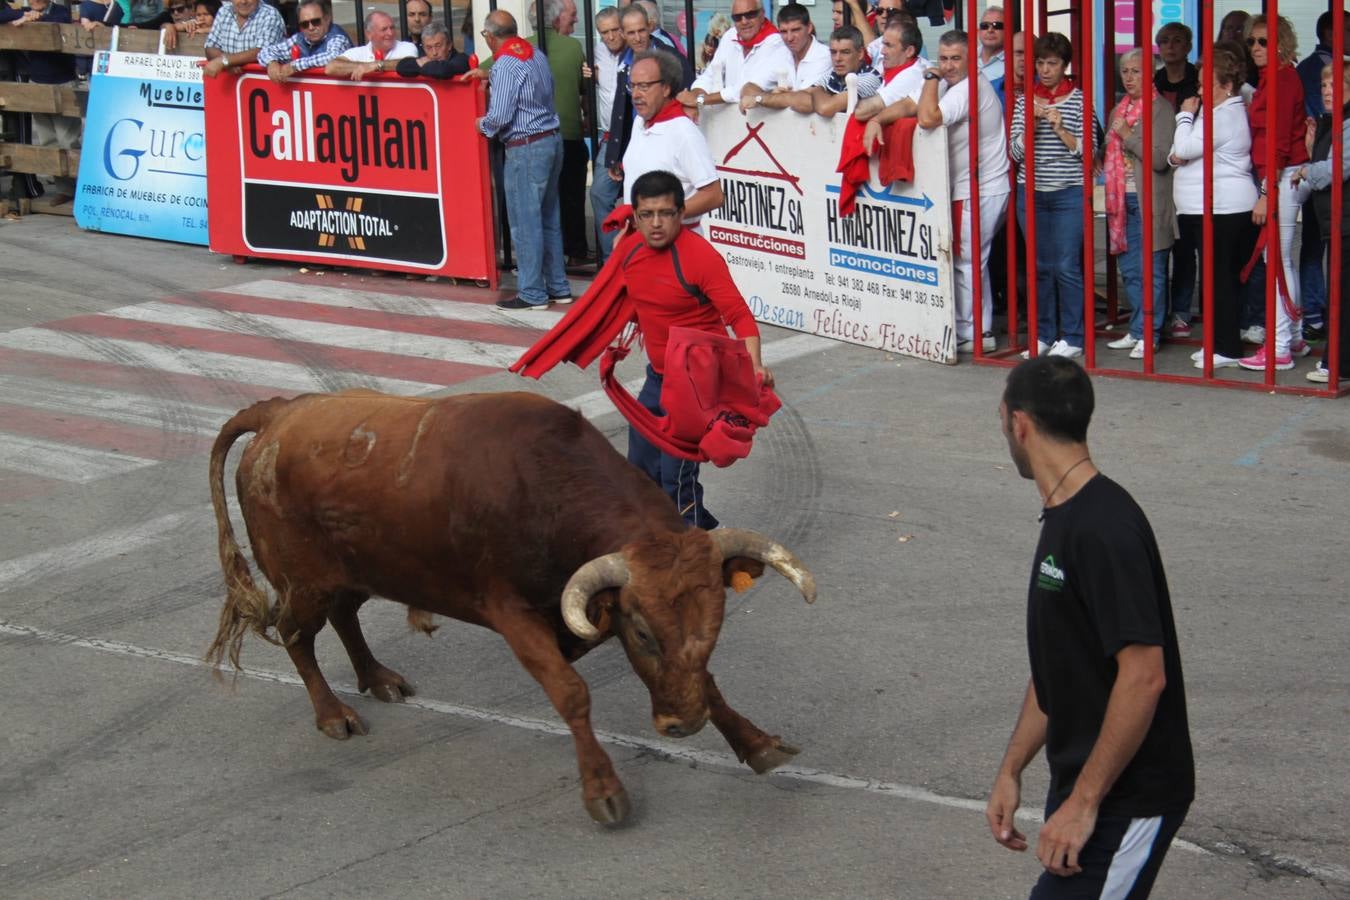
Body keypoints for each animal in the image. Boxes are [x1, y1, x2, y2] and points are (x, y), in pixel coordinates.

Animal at [201, 388, 810, 825]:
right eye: (641, 634)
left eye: (716, 623)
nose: (682, 725)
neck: (545, 490)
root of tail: (279, 412)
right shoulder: (514, 615)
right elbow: (571, 693)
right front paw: (604, 790)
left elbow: (704, 678)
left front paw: (755, 742)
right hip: (302, 582)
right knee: (296, 634)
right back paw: (333, 714)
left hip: (357, 570)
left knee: (345, 615)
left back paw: (377, 678)